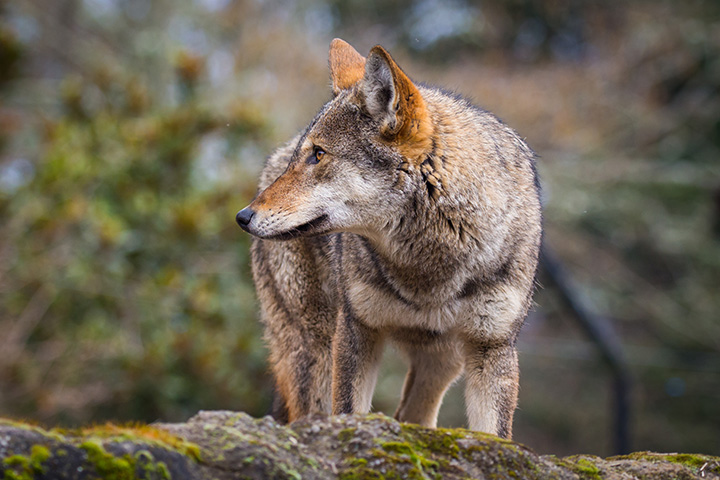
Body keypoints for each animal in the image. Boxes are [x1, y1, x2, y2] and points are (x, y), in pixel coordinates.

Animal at [235, 39, 541, 438]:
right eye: (307, 155)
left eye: (318, 154)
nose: (243, 216)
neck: (429, 270)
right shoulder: (355, 333)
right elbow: (348, 414)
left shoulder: (491, 349)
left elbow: (495, 435)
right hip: (315, 353)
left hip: (441, 362)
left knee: (413, 416)